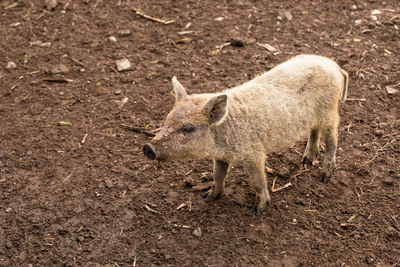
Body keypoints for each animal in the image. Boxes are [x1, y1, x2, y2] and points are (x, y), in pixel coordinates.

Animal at [144, 55, 346, 216]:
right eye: (167, 118)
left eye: (188, 128)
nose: (148, 147)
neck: (224, 133)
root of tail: (333, 65)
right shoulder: (221, 157)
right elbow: (218, 175)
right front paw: (208, 198)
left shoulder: (255, 155)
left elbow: (257, 181)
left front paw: (257, 210)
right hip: (315, 117)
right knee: (314, 131)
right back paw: (306, 162)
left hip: (330, 112)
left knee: (332, 138)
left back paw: (325, 176)